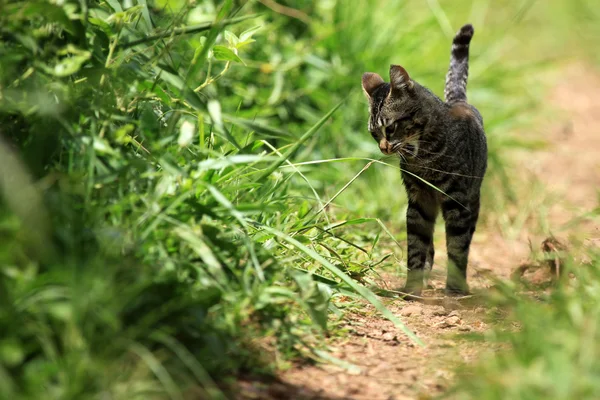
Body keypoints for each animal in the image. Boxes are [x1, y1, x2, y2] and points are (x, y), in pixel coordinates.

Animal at [360, 23, 488, 296]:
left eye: (390, 128)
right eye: (374, 133)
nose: (384, 148)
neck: (424, 154)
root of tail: (459, 101)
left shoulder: (458, 201)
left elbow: (458, 247)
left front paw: (455, 288)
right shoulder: (418, 201)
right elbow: (417, 247)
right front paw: (413, 287)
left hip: (473, 198)